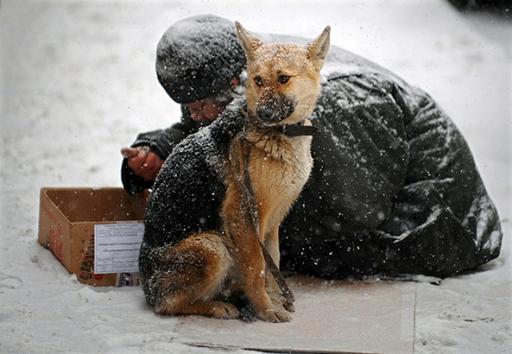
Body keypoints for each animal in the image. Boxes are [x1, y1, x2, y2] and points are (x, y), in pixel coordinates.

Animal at [152, 20, 330, 322]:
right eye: (258, 80)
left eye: (283, 78)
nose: (263, 114)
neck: (280, 134)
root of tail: (146, 286)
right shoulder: (243, 216)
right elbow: (257, 269)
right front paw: (266, 309)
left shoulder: (272, 222)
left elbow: (273, 263)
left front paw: (273, 299)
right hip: (212, 246)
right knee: (167, 305)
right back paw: (217, 306)